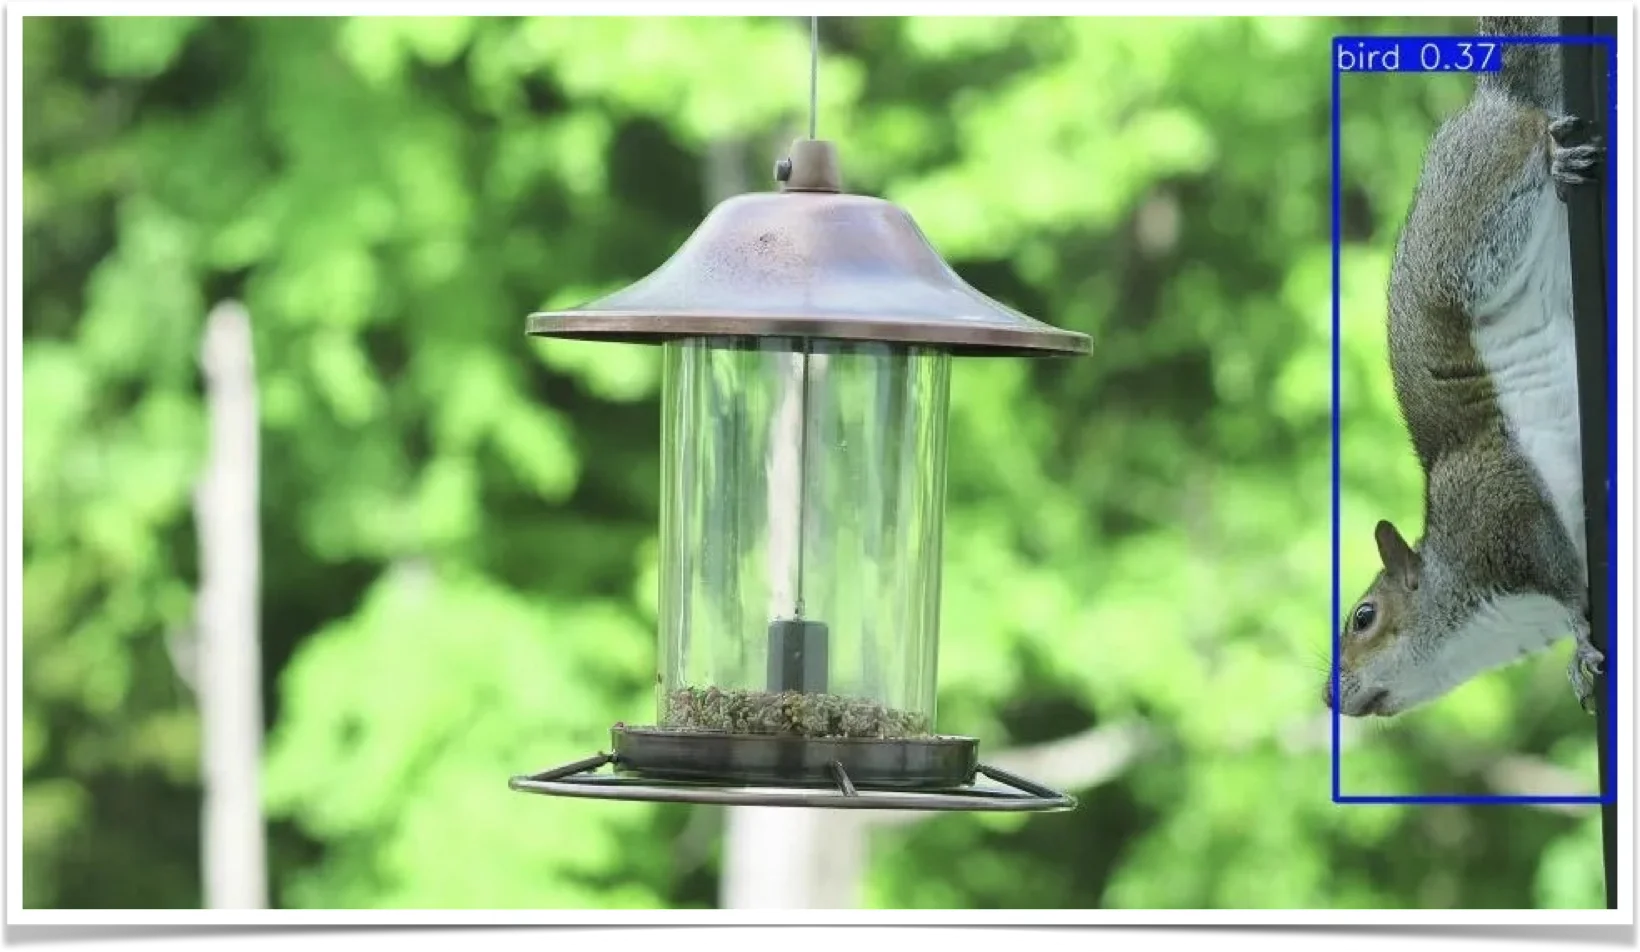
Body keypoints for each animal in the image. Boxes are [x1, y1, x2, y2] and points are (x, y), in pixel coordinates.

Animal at [1325, 16, 1605, 719]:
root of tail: (1493, 98)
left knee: (1530, 145)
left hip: (1474, 229)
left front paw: (1580, 648)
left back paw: (1555, 157)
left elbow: (1565, 585)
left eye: (1363, 616)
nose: (1327, 695)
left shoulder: (1502, 512)